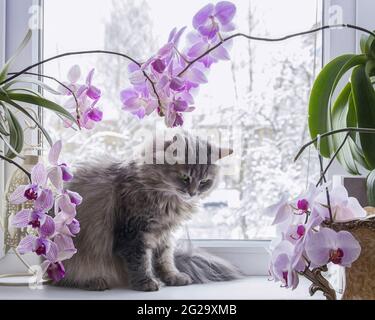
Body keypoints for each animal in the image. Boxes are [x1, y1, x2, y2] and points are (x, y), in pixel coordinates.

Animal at [57, 131, 242, 292]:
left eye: (204, 182)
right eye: (185, 178)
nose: (192, 193)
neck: (168, 201)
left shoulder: (165, 234)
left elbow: (165, 260)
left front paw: (172, 277)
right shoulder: (133, 232)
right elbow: (141, 261)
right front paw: (146, 282)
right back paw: (95, 282)